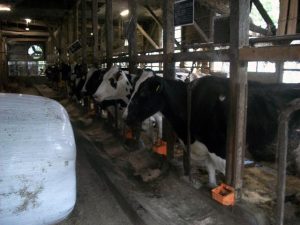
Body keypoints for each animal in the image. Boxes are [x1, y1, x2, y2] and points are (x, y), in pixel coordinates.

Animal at [123, 75, 300, 186]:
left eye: (143, 93)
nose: (125, 116)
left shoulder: (219, 148)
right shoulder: (205, 147)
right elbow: (210, 169)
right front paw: (211, 184)